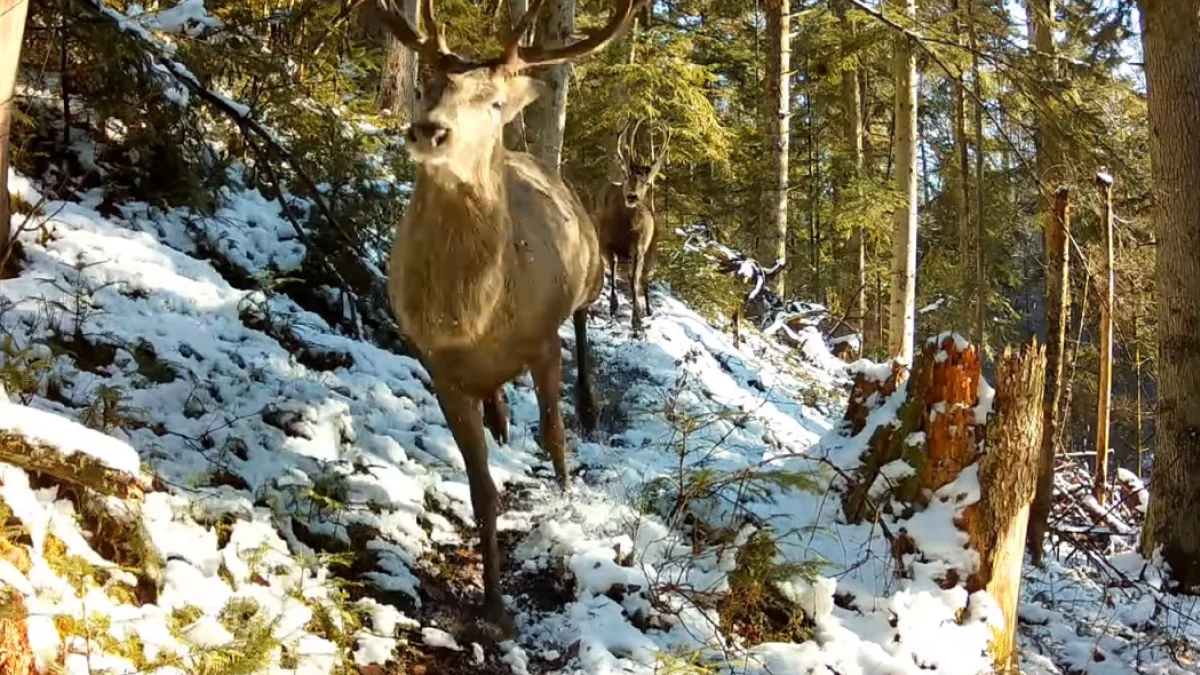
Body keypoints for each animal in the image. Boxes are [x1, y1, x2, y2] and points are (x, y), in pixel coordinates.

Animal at [372, 0, 643, 634]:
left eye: (494, 102)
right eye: (427, 85)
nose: (430, 130)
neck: (474, 318)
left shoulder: (542, 341)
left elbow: (555, 437)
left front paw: (567, 506)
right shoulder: (439, 369)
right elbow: (481, 491)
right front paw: (495, 606)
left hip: (590, 274)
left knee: (584, 325)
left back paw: (588, 404)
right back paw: (498, 414)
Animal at [597, 120, 672, 333]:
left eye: (646, 183)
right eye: (626, 175)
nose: (632, 196)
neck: (623, 229)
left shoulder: (638, 247)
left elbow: (633, 282)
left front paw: (636, 321)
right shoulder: (605, 243)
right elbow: (613, 271)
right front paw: (613, 306)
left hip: (651, 250)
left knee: (644, 280)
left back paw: (648, 309)